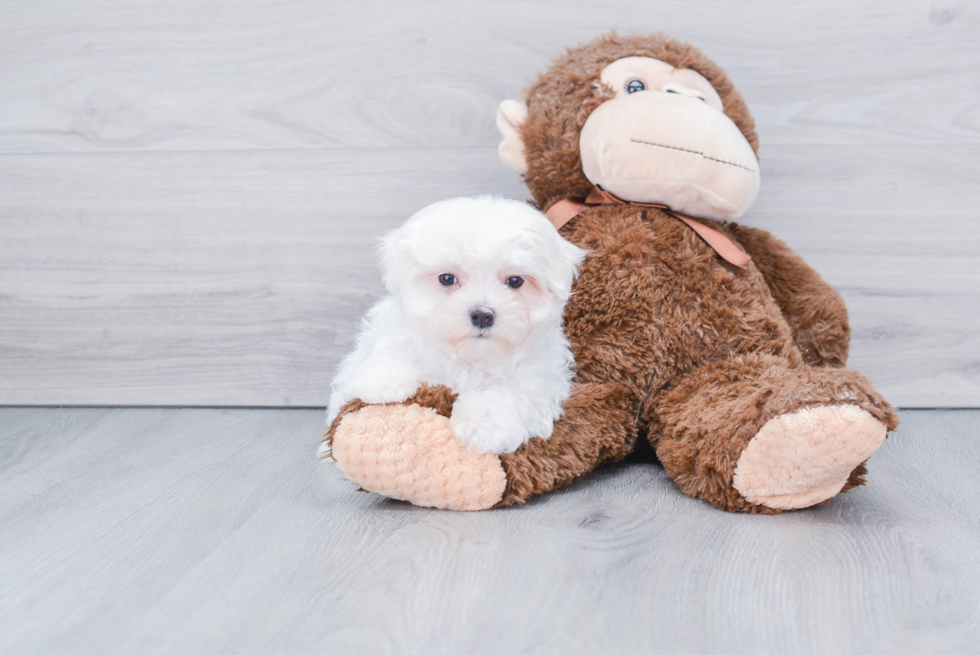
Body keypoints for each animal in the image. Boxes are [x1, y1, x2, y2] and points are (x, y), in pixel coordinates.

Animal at [330, 195, 584, 456]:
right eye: (447, 278)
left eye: (515, 281)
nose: (482, 315)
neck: (469, 355)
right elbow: (392, 352)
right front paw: (383, 380)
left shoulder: (539, 379)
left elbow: (506, 393)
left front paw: (485, 426)